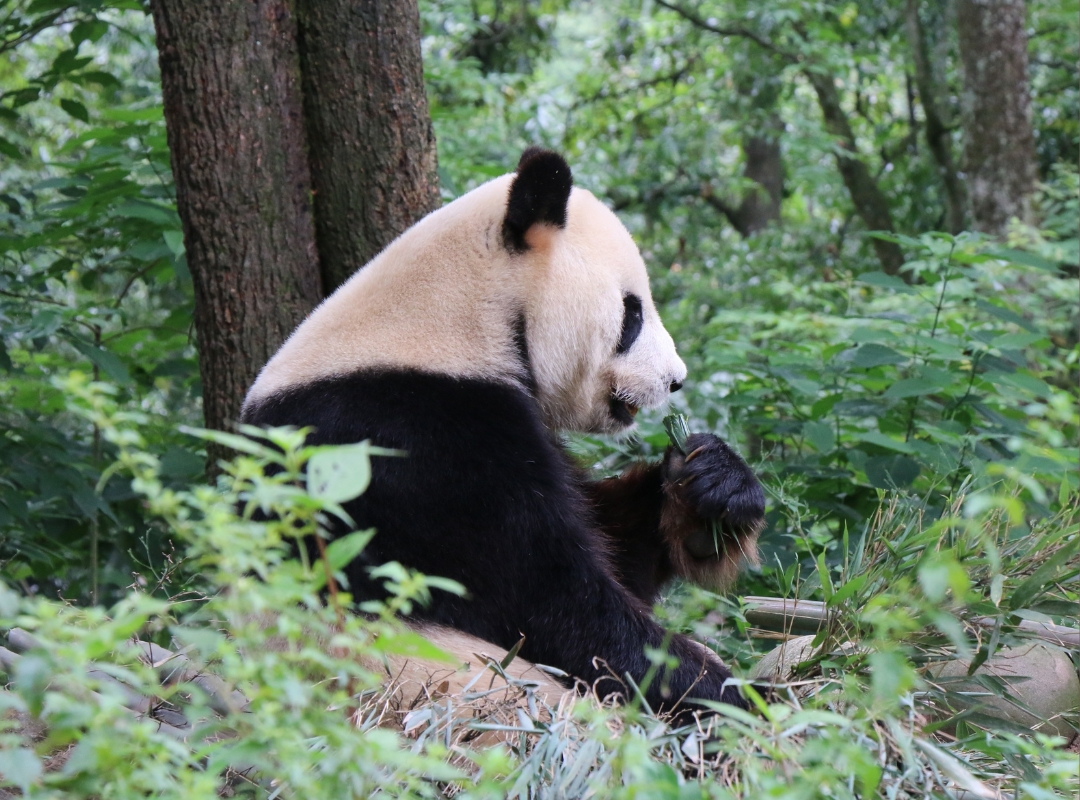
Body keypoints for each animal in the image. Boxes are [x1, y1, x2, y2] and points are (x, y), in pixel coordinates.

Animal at [241, 148, 766, 718]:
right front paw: (724, 693)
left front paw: (711, 488)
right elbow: (551, 603)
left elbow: (617, 545)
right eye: (632, 313)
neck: (453, 320)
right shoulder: (417, 446)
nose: (675, 380)